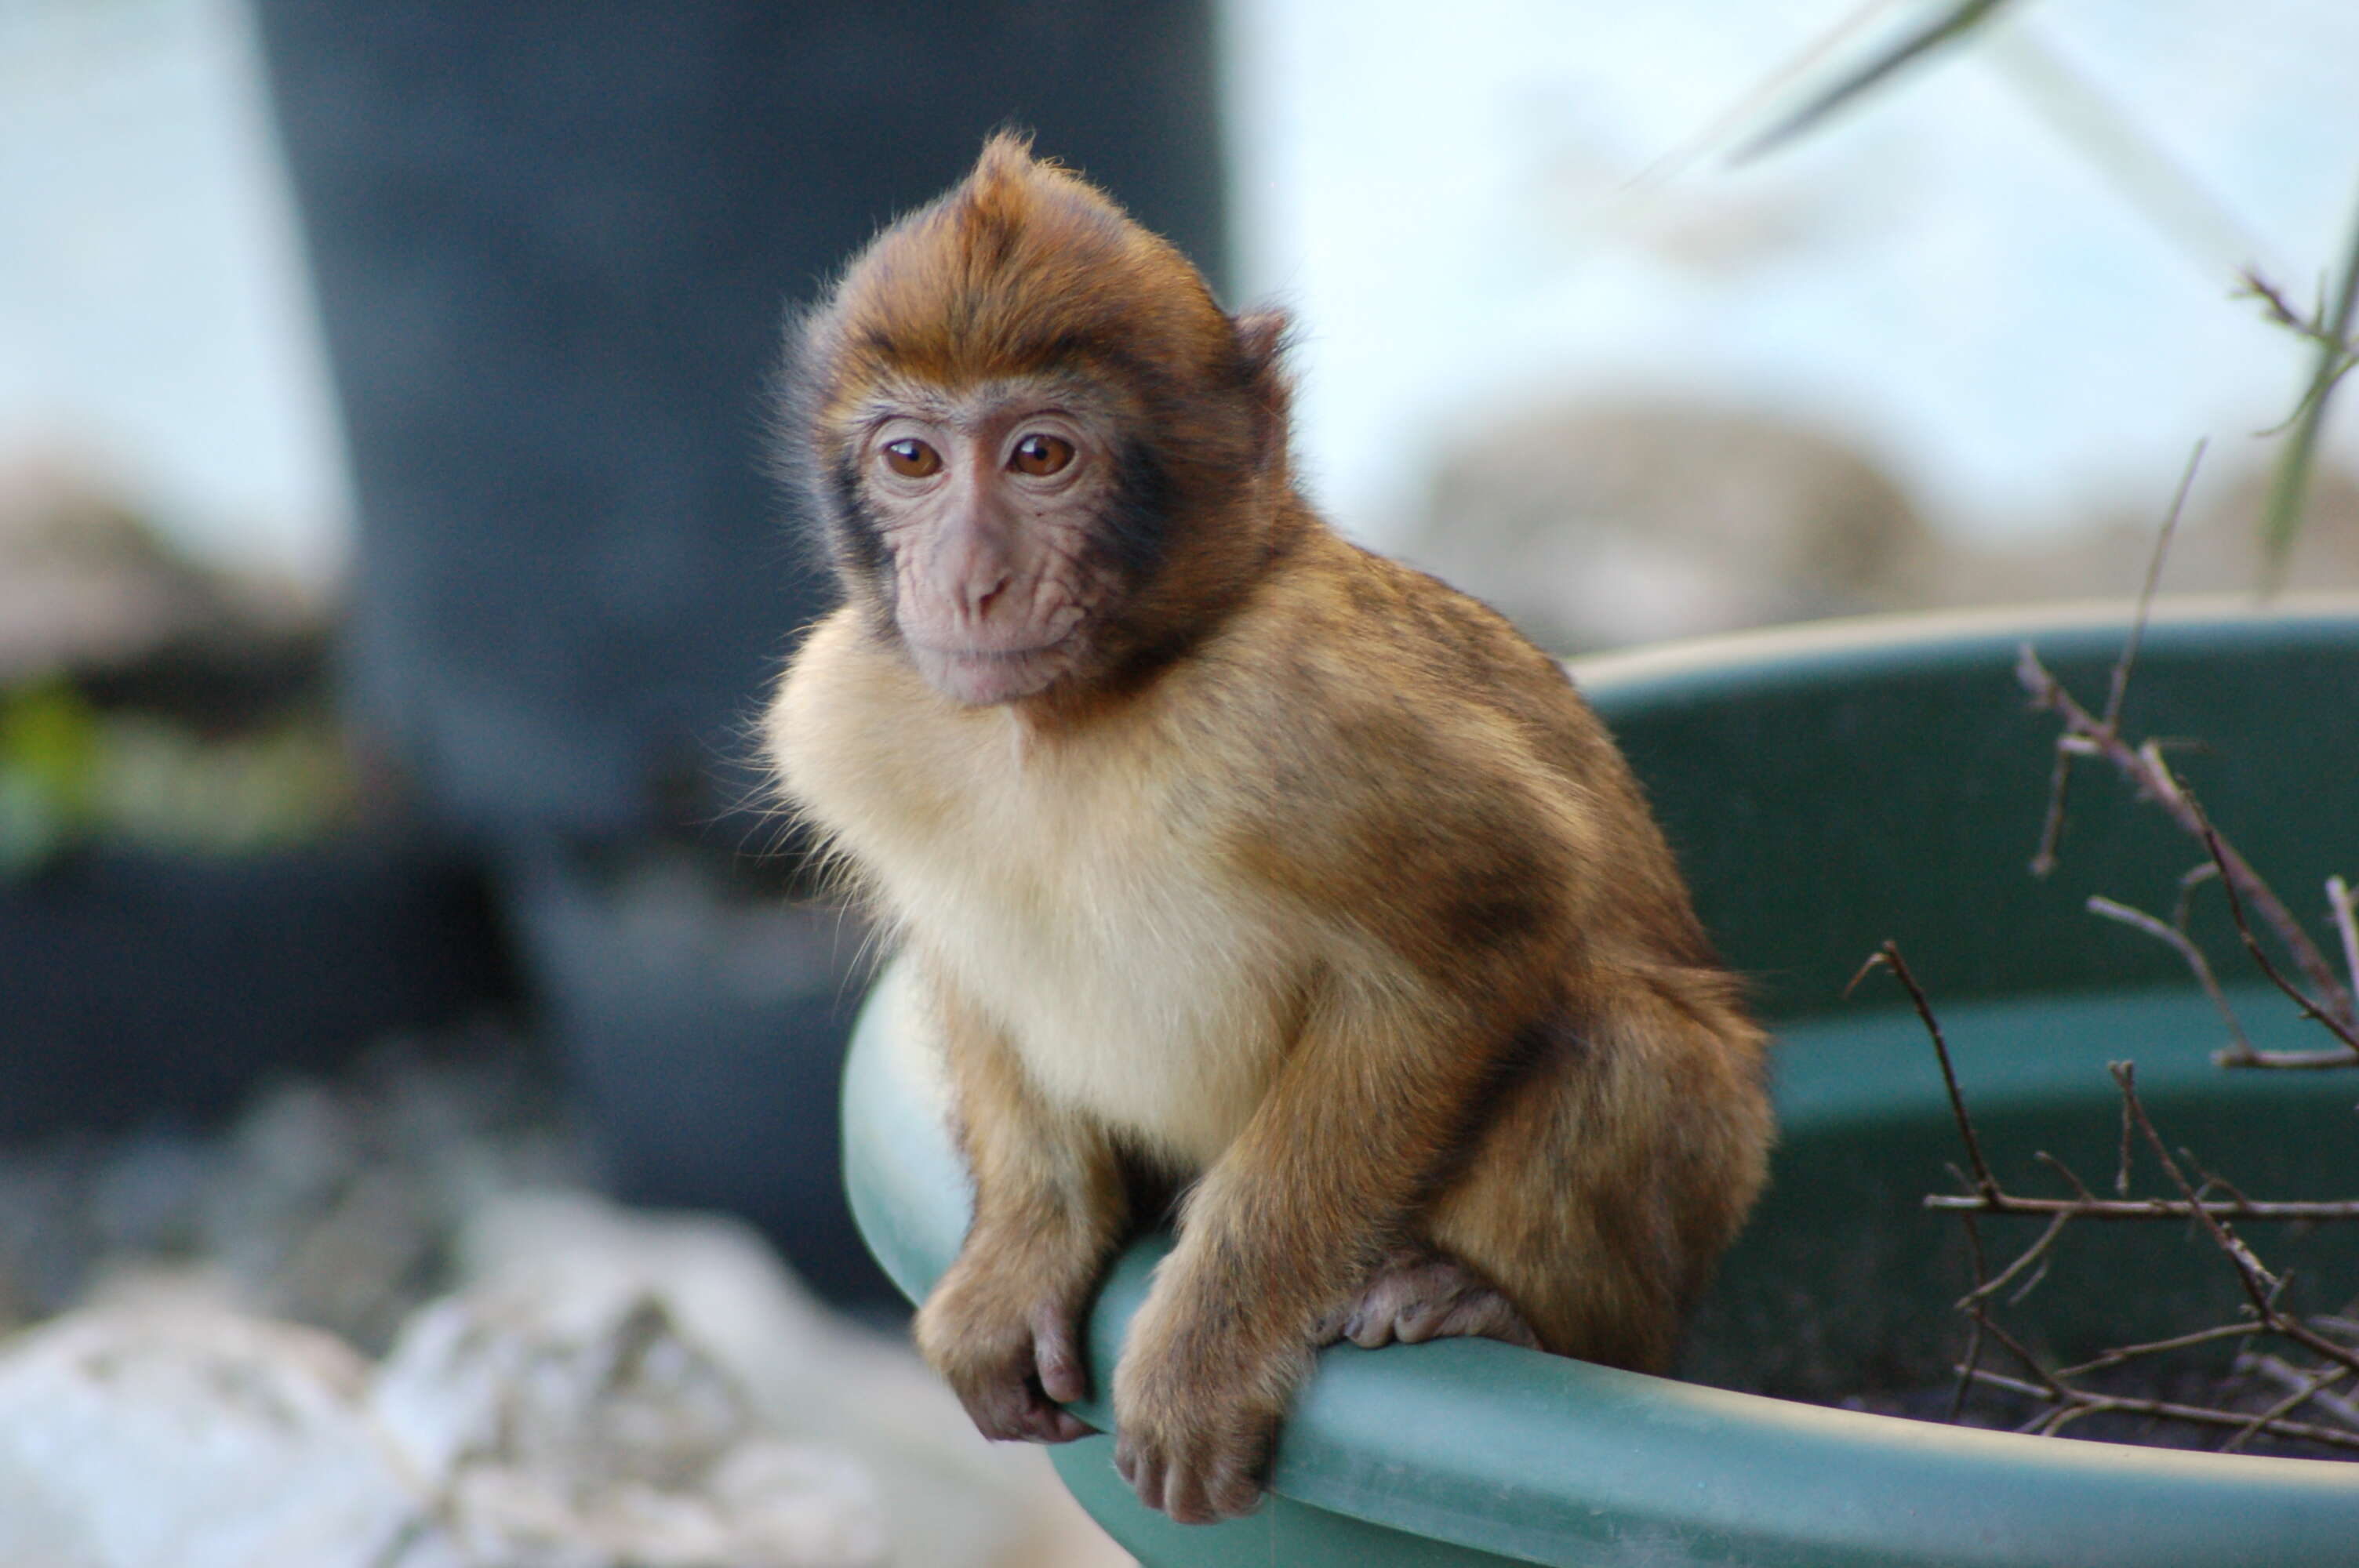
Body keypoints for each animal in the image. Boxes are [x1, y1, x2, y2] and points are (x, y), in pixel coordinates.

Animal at [764, 134, 1774, 1518]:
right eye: (911, 460)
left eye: (1040, 457)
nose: (966, 582)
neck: (1079, 714)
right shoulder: (849, 715)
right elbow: (969, 971)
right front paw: (1024, 1253)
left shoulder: (1298, 719)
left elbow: (1481, 931)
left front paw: (1205, 1352)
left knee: (1622, 1044)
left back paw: (1492, 1301)